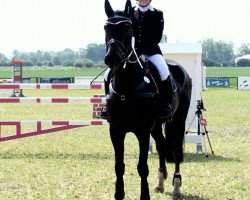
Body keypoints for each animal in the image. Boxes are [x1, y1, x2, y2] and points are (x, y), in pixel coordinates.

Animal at [103, 0, 191, 199]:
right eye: (106, 27)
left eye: (128, 28)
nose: (112, 58)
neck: (126, 87)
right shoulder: (116, 130)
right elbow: (119, 166)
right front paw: (119, 194)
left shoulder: (142, 130)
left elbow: (142, 167)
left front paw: (145, 195)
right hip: (157, 125)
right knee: (161, 144)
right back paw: (160, 183)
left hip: (178, 119)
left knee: (175, 148)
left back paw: (176, 186)